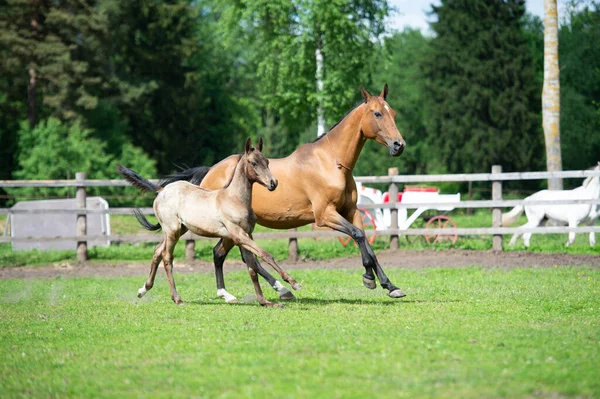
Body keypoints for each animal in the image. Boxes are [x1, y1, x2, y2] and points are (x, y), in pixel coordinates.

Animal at [118, 139, 302, 308]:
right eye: (253, 163)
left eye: (267, 162)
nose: (273, 183)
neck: (234, 199)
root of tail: (162, 190)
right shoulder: (238, 234)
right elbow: (265, 255)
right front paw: (293, 283)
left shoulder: (246, 234)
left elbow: (252, 268)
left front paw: (265, 301)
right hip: (172, 231)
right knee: (167, 258)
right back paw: (177, 299)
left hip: (179, 230)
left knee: (157, 251)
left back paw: (143, 289)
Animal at [163, 86, 408, 302]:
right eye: (377, 113)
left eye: (394, 113)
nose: (399, 145)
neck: (331, 162)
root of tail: (209, 172)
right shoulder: (325, 215)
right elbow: (357, 235)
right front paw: (369, 277)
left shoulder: (350, 211)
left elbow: (365, 240)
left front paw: (390, 285)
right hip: (230, 229)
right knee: (233, 255)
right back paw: (275, 289)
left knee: (228, 255)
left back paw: (267, 290)